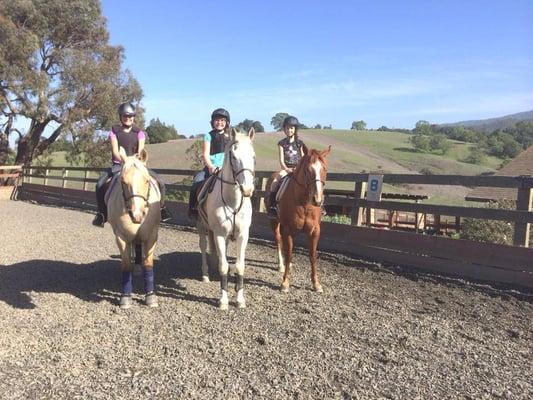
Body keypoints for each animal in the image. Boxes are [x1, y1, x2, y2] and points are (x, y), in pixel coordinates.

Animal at [106, 148, 160, 308]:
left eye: (147, 180)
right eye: (123, 181)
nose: (137, 215)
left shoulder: (152, 235)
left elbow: (148, 264)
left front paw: (150, 296)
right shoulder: (121, 237)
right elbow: (125, 265)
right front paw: (125, 297)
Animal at [197, 127, 256, 310]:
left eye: (253, 156)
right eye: (234, 157)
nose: (247, 190)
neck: (233, 201)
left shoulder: (243, 235)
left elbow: (239, 266)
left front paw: (240, 299)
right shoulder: (219, 235)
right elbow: (224, 266)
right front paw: (223, 300)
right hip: (202, 227)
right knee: (203, 247)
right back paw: (205, 275)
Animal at [268, 146, 330, 290]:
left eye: (324, 169)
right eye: (307, 170)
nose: (317, 200)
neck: (304, 203)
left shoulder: (315, 231)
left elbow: (312, 256)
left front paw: (316, 284)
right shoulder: (288, 229)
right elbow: (289, 253)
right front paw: (285, 282)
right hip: (274, 222)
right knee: (278, 240)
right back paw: (281, 265)